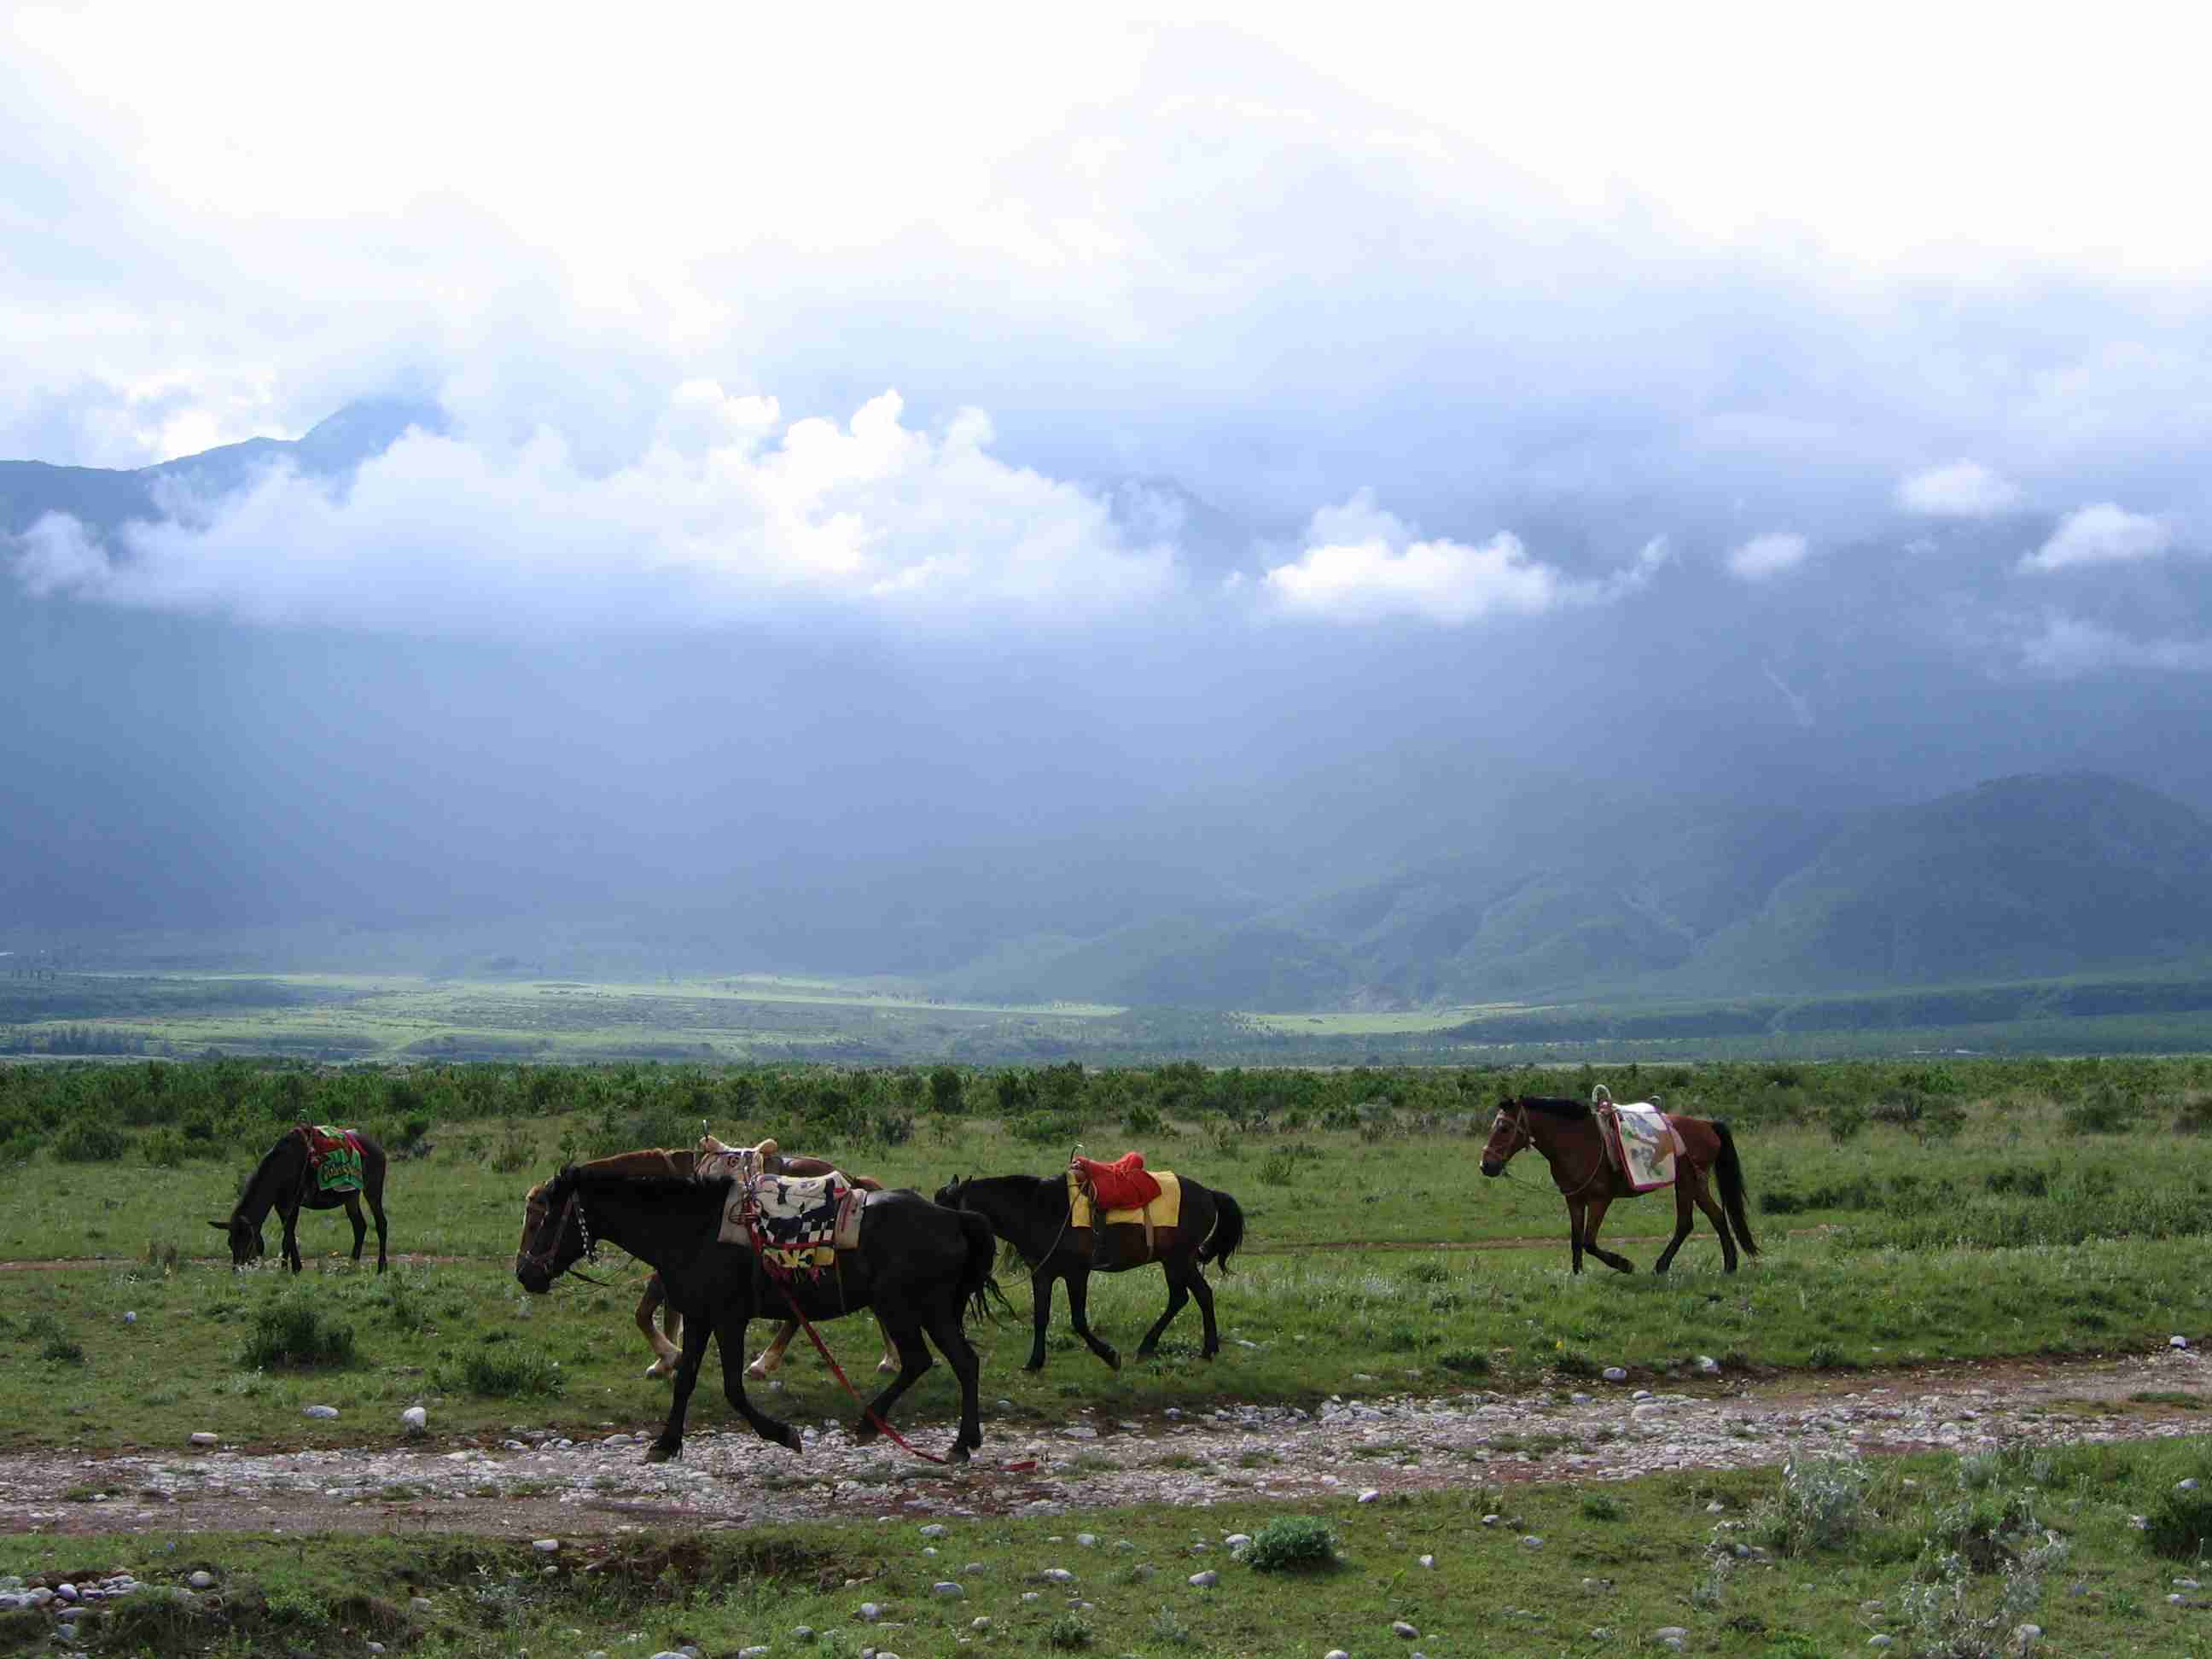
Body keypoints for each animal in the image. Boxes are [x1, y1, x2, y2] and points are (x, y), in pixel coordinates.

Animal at [211, 1132, 389, 1273]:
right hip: (350, 1196)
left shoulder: (293, 1204)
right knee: (360, 1226)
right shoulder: (280, 1206)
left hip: (372, 1190)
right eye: (230, 1243)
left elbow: (289, 1236)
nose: (237, 1270)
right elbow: (288, 1236)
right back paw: (351, 1266)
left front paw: (291, 1268)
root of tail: (380, 1150)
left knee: (381, 1224)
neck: (279, 1171)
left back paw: (381, 1266)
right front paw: (288, 1268)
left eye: (247, 1242)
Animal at [513, 1167, 999, 1469]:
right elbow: (685, 1380)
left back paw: (886, 1428)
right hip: (928, 1310)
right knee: (962, 1362)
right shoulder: (700, 1316)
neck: (692, 1229)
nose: (525, 1274)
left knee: (925, 1361)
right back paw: (961, 1442)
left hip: (907, 1308)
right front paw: (665, 1444)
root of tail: (953, 1216)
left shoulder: (729, 1318)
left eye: (543, 1218)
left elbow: (732, 1388)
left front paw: (783, 1434)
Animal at [1477, 1097, 1751, 1283]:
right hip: (1696, 1185)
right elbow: (1576, 1240)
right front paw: (1577, 1275)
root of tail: (1707, 1125)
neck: (1576, 1143)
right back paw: (1729, 1265)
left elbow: (1589, 1241)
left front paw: (1623, 1264)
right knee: (1715, 1216)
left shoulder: (1600, 1200)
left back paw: (1663, 1265)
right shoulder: (1574, 1199)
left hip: (1687, 1184)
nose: (1486, 1165)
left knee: (1687, 1223)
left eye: (1504, 1128)